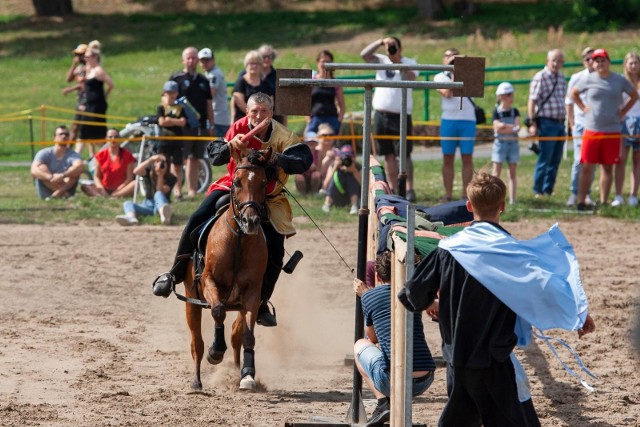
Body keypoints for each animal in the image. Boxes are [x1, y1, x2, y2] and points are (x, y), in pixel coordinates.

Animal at [184, 149, 276, 392]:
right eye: (237, 182)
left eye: (264, 182)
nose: (251, 221)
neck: (239, 241)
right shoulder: (209, 282)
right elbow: (217, 311)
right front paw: (216, 350)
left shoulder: (252, 293)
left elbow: (247, 337)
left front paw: (248, 375)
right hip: (191, 300)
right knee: (196, 342)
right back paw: (196, 381)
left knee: (236, 335)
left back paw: (237, 372)